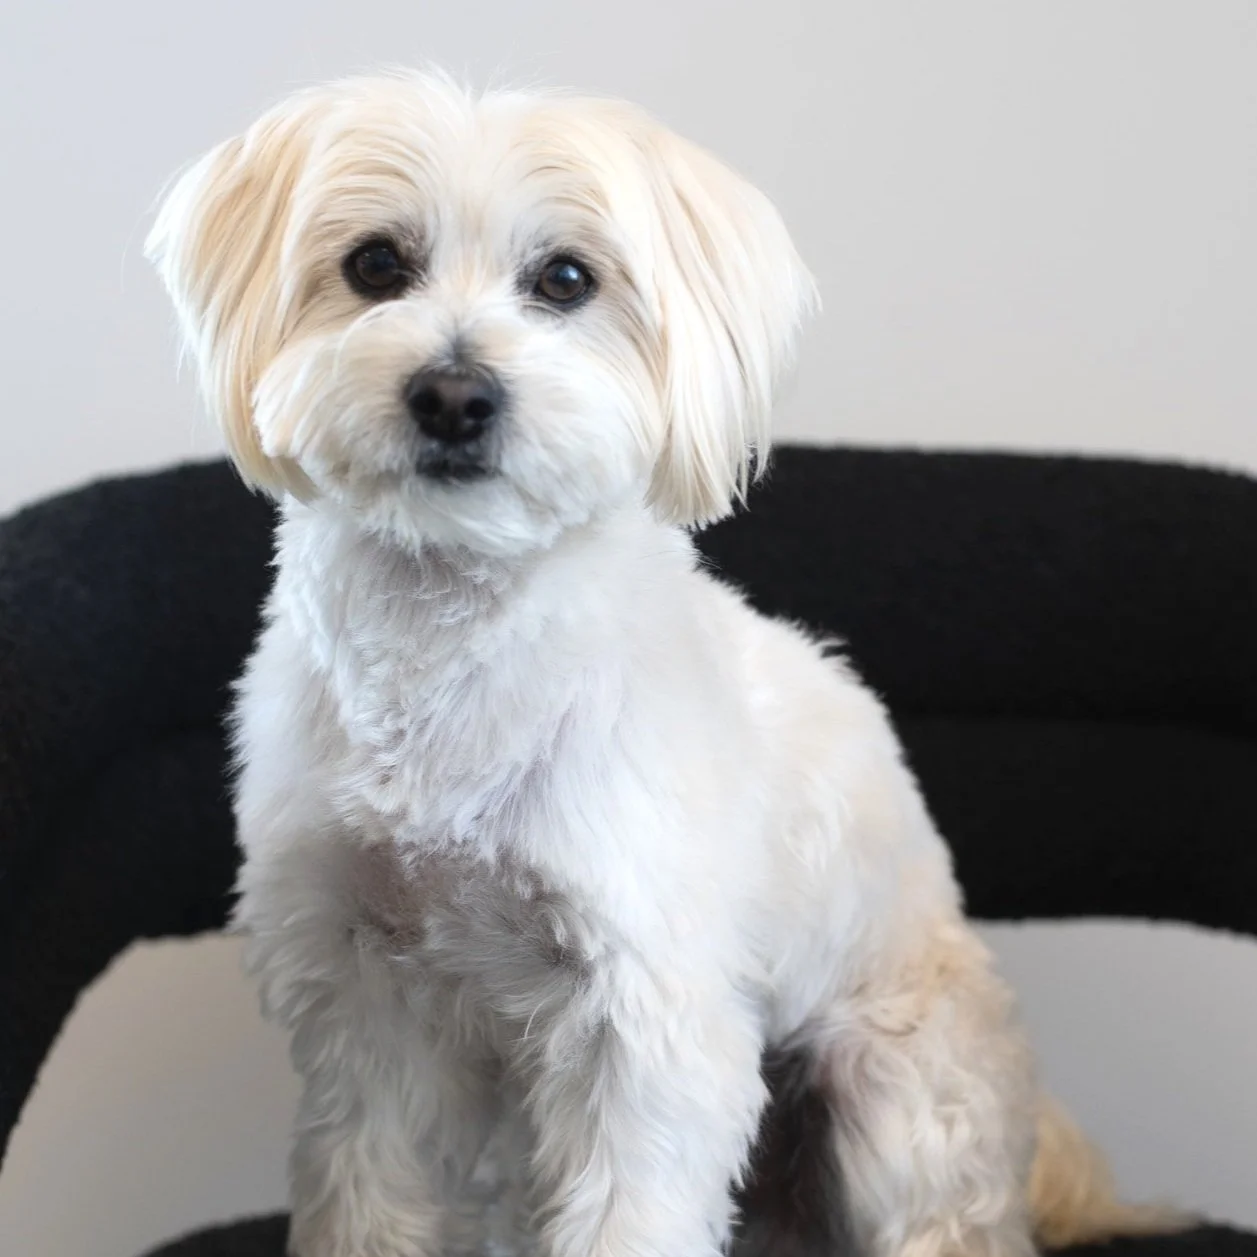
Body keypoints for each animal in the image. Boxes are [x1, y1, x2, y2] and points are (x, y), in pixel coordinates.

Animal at [147, 70, 1176, 1257]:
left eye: (565, 279)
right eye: (373, 265)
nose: (454, 396)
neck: (453, 641)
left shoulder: (643, 1023)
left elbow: (630, 1207)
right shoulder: (366, 1003)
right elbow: (368, 1191)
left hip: (896, 1096)